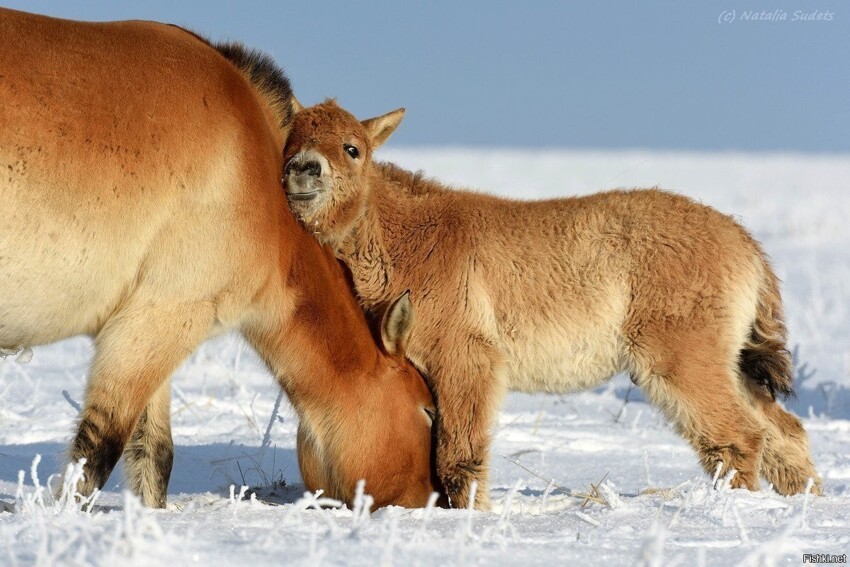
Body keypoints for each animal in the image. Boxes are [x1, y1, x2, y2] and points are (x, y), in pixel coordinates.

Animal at [282, 98, 820, 510]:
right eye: (289, 142)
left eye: (352, 149)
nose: (303, 170)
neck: (408, 237)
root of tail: (746, 244)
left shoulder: (466, 357)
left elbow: (458, 455)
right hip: (727, 359)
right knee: (783, 431)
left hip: (681, 355)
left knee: (740, 435)